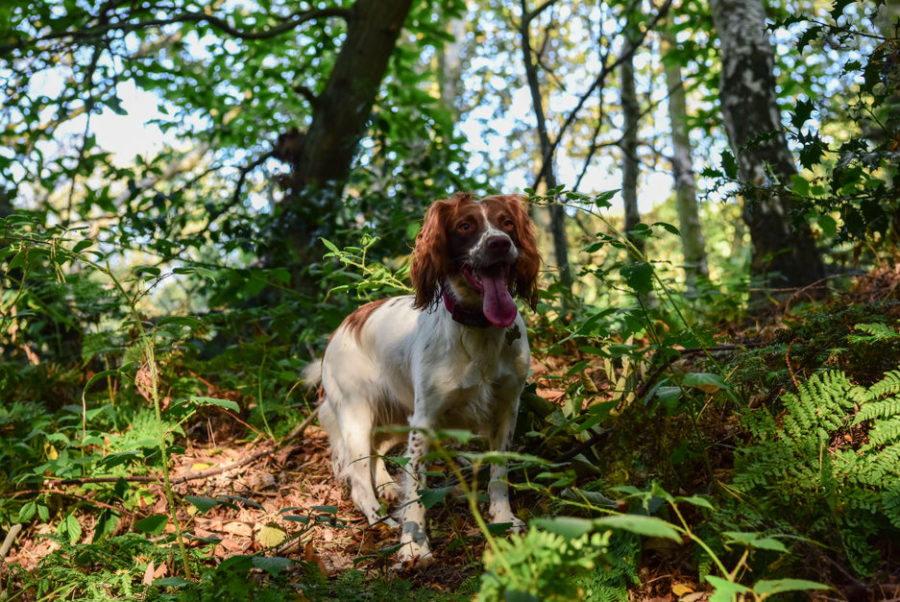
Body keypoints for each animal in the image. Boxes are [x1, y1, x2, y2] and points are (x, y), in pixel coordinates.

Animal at [310, 192, 536, 564]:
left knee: (376, 452)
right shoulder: (425, 419)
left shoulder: (507, 407)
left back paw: (387, 486)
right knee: (358, 476)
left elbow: (499, 470)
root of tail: (346, 322)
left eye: (506, 222)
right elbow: (416, 485)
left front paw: (503, 518)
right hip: (358, 413)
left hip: (395, 415)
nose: (500, 244)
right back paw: (378, 515)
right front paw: (413, 544)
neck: (478, 329)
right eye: (465, 226)